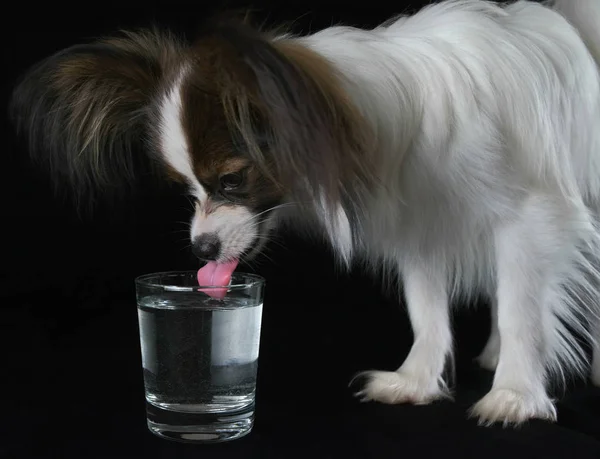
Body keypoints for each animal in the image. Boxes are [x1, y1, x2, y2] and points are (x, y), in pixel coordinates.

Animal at [10, 0, 600, 428]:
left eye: (232, 180)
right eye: (187, 191)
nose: (200, 249)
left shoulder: (532, 220)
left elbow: (521, 313)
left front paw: (516, 394)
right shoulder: (420, 225)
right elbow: (427, 310)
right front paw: (414, 381)